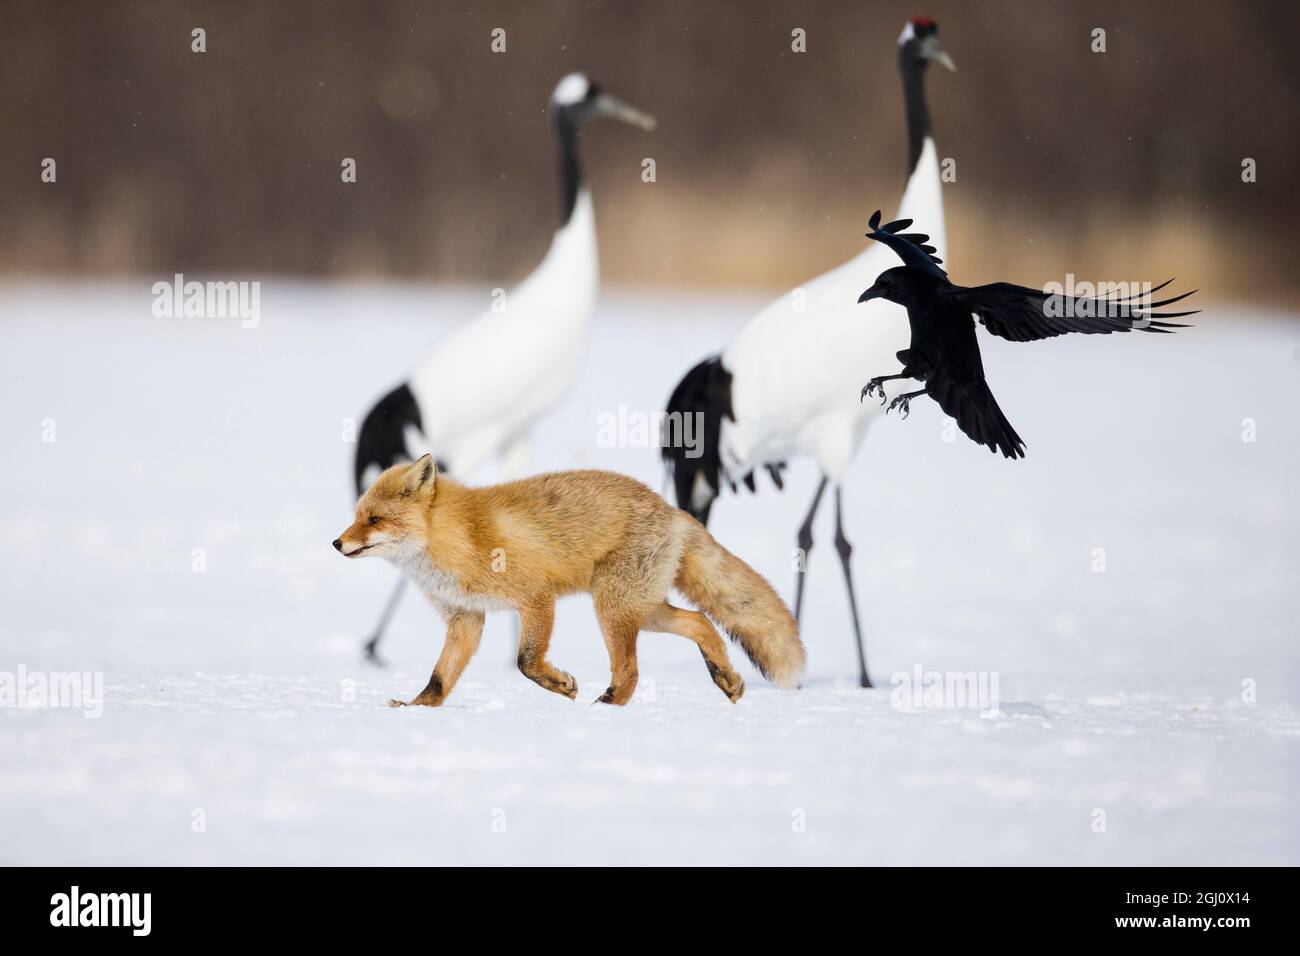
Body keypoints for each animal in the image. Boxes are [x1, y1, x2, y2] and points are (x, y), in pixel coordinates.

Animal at [333, 454, 805, 707]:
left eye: (374, 520)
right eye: (357, 516)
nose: (337, 543)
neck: (458, 537)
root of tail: (672, 509)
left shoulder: (535, 597)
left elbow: (525, 661)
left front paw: (560, 685)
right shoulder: (466, 618)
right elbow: (439, 677)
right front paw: (417, 708)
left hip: (613, 607)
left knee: (631, 670)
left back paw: (606, 707)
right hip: (643, 609)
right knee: (701, 622)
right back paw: (726, 679)